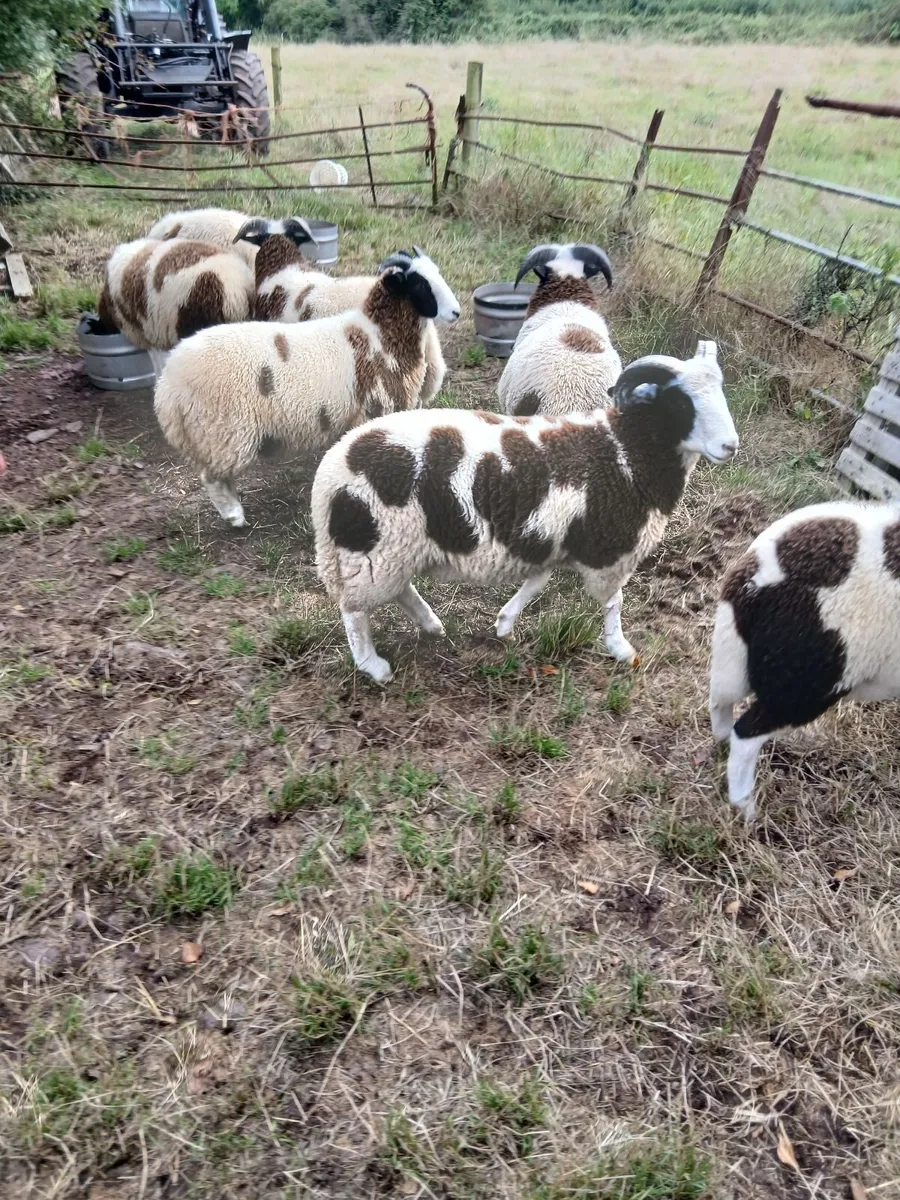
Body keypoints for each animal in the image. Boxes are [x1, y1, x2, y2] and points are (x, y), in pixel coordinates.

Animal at [154, 248, 460, 528]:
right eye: (419, 284)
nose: (456, 312)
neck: (378, 335)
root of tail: (167, 384)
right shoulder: (376, 408)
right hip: (221, 430)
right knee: (213, 478)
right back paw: (234, 516)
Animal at [311, 341, 738, 683]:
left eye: (720, 391)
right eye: (680, 402)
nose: (730, 446)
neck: (625, 450)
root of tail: (333, 464)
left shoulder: (550, 539)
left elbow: (537, 582)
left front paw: (505, 624)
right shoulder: (609, 550)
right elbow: (613, 603)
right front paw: (621, 649)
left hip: (389, 551)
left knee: (398, 591)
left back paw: (431, 625)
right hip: (373, 551)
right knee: (354, 612)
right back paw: (374, 666)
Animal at [709, 500, 900, 820]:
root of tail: (756, 580)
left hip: (734, 656)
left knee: (720, 706)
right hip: (806, 685)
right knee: (746, 733)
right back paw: (745, 807)